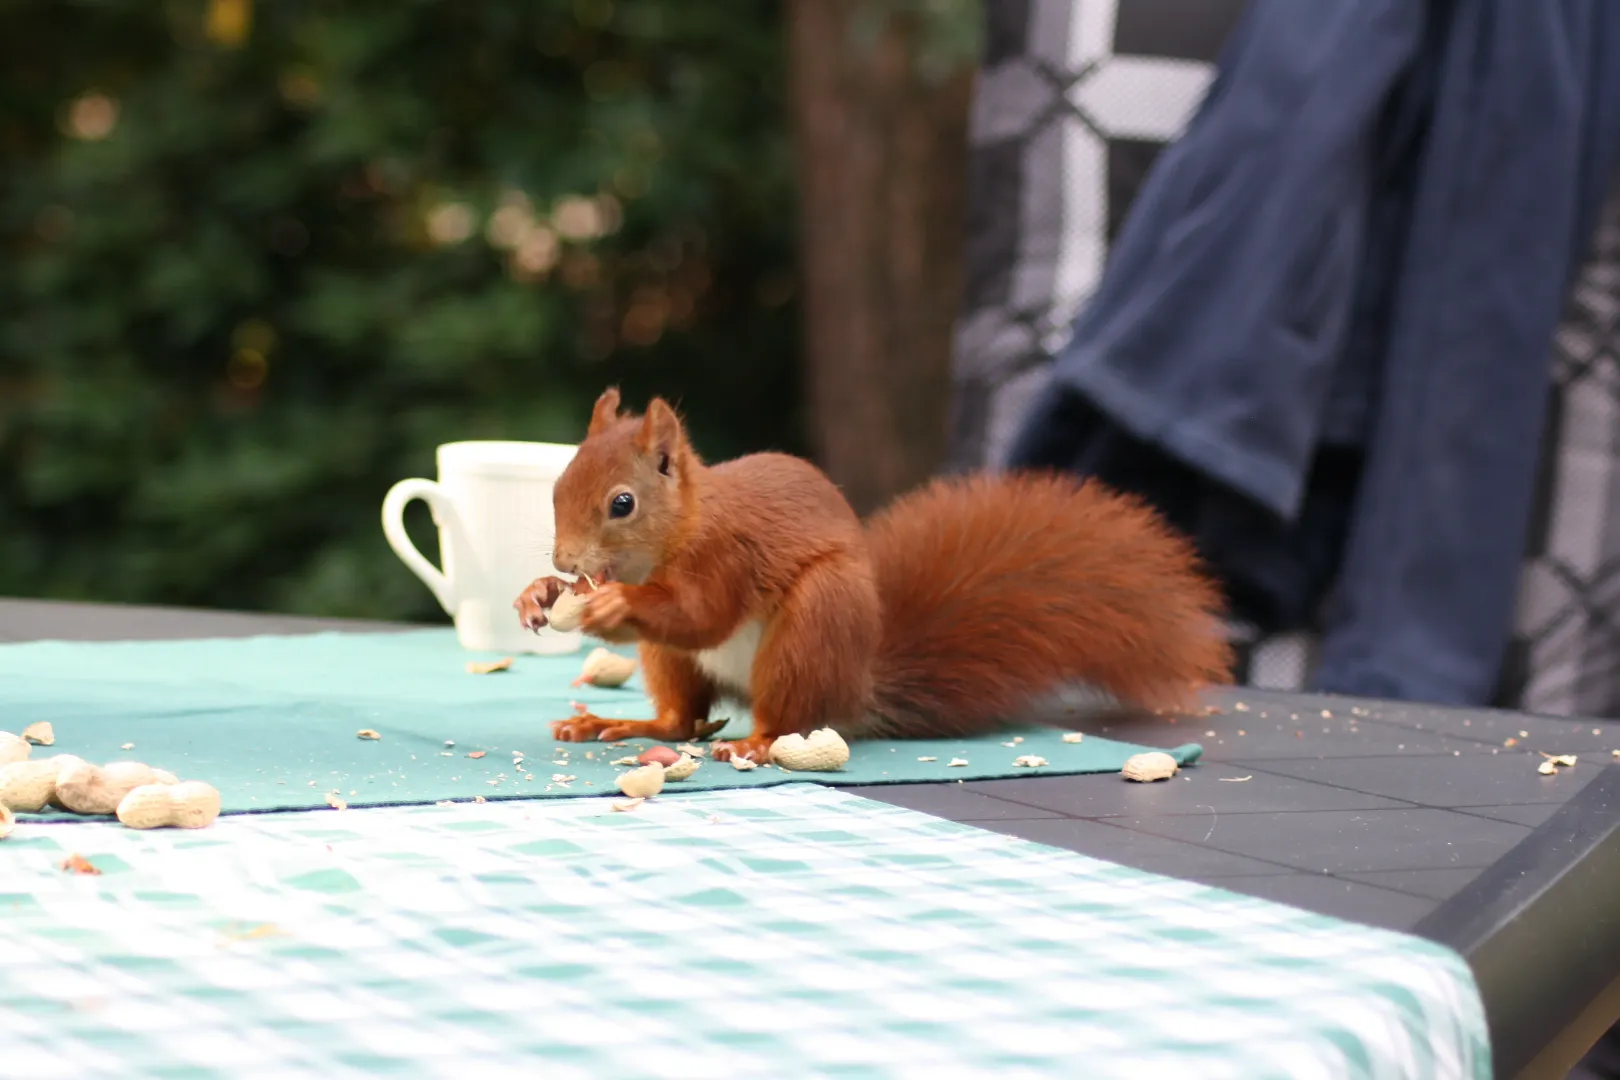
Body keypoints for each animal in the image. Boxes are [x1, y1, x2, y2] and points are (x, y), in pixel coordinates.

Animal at [515, 386, 1224, 761]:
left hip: (814, 627)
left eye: (622, 503)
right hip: (675, 663)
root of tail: (857, 686)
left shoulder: (729, 554)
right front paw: (538, 595)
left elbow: (701, 614)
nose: (564, 562)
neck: (677, 535)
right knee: (681, 718)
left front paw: (612, 606)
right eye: (558, 484)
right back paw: (619, 725)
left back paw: (754, 743)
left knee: (784, 717)